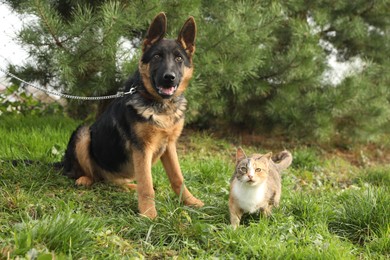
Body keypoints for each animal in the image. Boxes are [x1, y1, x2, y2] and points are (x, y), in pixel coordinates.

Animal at [63, 12, 204, 219]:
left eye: (179, 58)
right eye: (157, 56)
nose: (169, 78)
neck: (160, 106)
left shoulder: (169, 146)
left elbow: (178, 178)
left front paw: (190, 201)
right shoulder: (142, 149)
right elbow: (146, 185)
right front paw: (149, 215)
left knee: (109, 181)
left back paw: (129, 186)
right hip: (83, 133)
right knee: (92, 175)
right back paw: (85, 179)